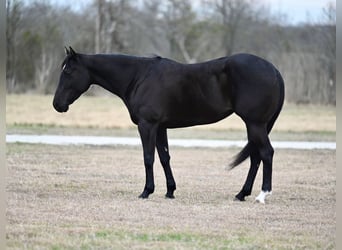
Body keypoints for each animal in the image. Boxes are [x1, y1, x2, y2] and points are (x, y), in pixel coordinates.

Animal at [52, 47, 284, 203]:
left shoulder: (147, 125)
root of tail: (273, 69)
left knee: (266, 153)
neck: (139, 77)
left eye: (68, 71)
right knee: (256, 157)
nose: (57, 104)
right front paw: (170, 191)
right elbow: (164, 157)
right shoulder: (160, 127)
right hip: (255, 125)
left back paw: (262, 195)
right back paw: (241, 194)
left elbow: (148, 157)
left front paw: (146, 191)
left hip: (255, 124)